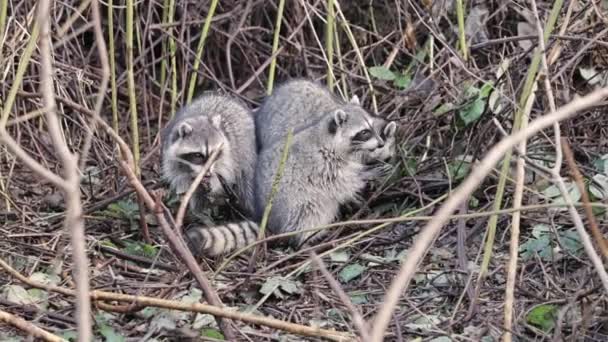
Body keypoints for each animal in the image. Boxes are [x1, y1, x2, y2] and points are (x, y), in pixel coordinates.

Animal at [184, 81, 400, 256]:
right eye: (364, 132)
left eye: (371, 128)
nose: (381, 143)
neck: (329, 138)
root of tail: (270, 221)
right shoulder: (323, 163)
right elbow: (342, 182)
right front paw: (365, 175)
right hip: (297, 203)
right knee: (311, 211)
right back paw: (307, 240)